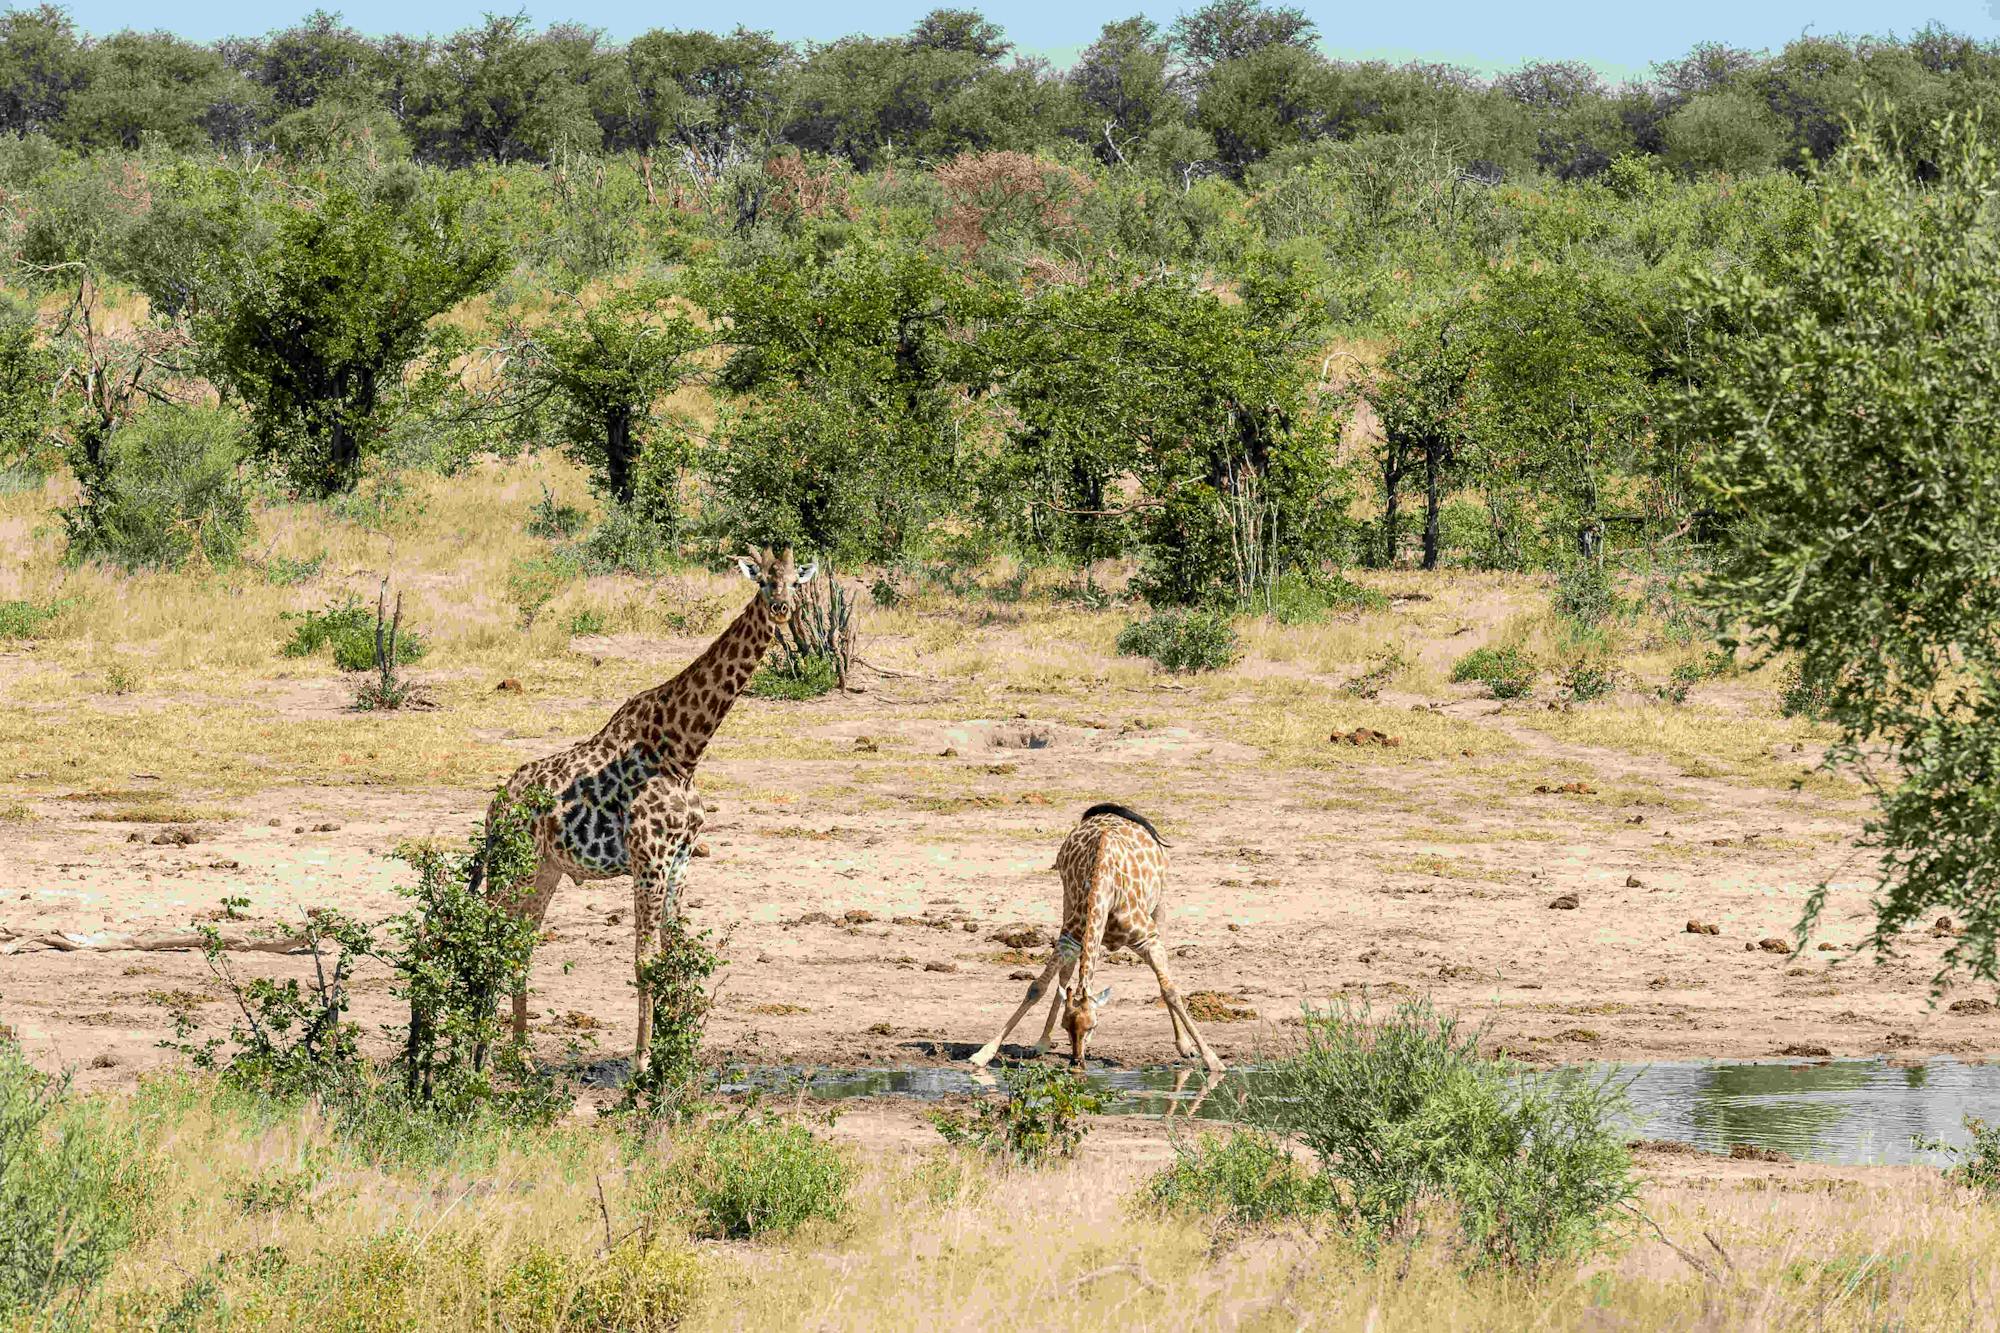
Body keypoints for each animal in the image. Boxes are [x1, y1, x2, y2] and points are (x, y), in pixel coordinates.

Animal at [496, 540, 816, 1056]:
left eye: (793, 581)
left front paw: (675, 1056)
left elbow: (673, 956)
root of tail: (495, 805)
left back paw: (517, 1058)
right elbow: (645, 961)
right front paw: (643, 1065)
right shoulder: (648, 860)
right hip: (516, 866)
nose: (782, 609)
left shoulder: (681, 860)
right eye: (764, 581)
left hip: (546, 869)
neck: (684, 751)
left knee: (516, 945)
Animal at [968, 800, 1216, 1072]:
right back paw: (1042, 1041)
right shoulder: (1070, 938)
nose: (1076, 1061)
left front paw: (1210, 1058)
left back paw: (1185, 1046)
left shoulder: (1148, 939)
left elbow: (1170, 992)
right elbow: (1037, 987)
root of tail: (1107, 810)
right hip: (1066, 900)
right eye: (1066, 1026)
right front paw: (984, 1053)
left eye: (1093, 1026)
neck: (1105, 888)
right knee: (1065, 974)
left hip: (1159, 903)